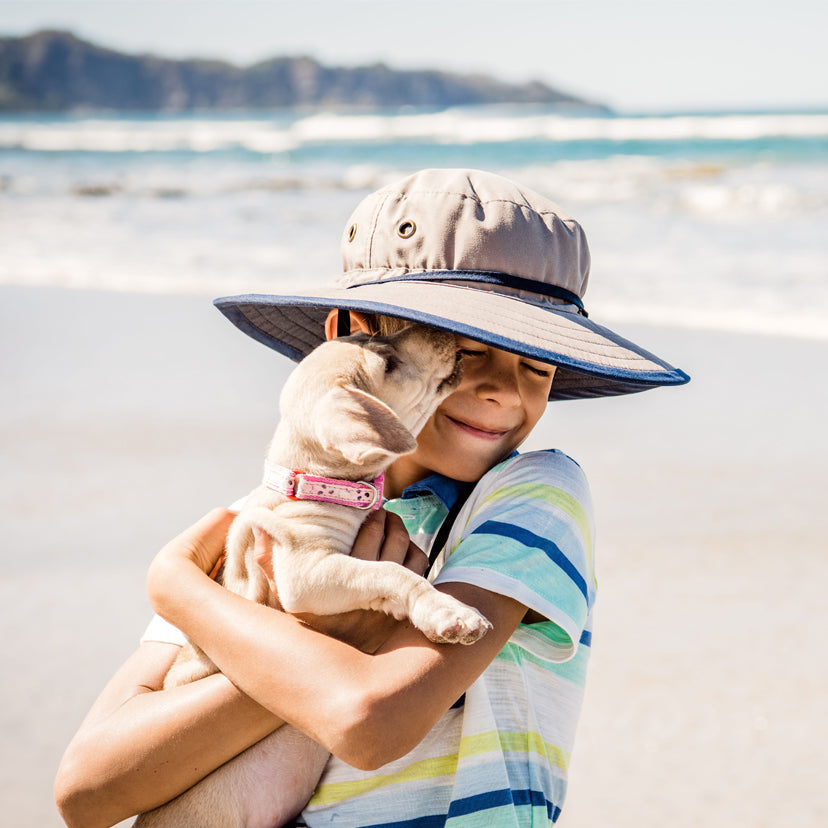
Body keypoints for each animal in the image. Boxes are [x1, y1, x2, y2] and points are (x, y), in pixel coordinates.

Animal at [136, 326, 492, 828]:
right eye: (387, 364)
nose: (442, 330)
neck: (313, 481)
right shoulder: (304, 572)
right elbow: (392, 572)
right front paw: (448, 612)